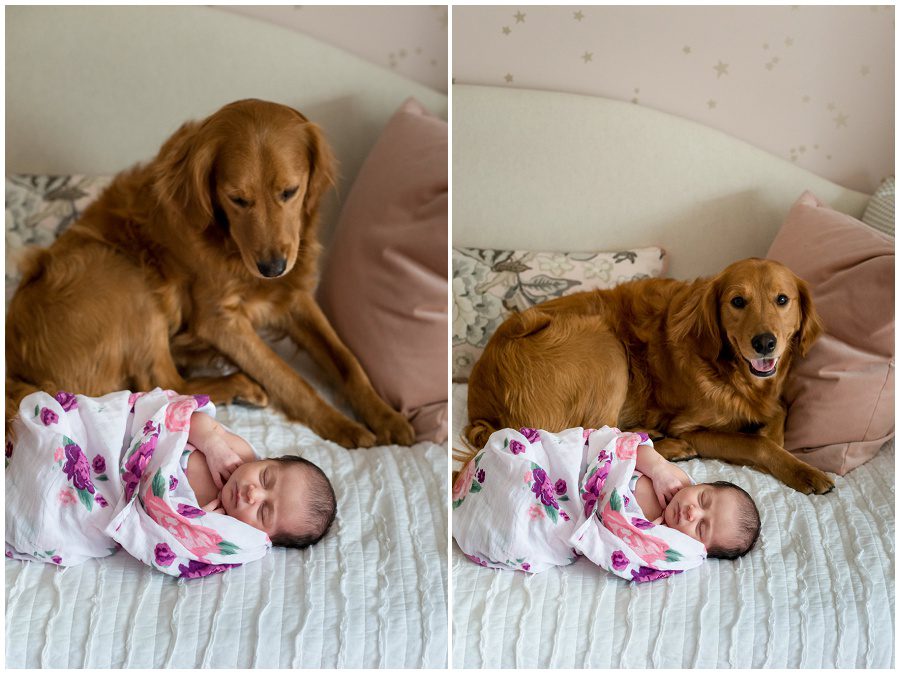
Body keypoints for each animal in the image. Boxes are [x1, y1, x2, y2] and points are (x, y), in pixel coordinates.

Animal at [6, 98, 414, 446]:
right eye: (238, 199)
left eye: (290, 191)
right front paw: (342, 425)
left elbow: (347, 361)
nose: (272, 268)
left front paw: (385, 417)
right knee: (164, 385)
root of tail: (17, 372)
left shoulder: (293, 296)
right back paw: (238, 385)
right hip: (121, 271)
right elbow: (288, 377)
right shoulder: (219, 321)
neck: (230, 246)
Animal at [468, 258, 832, 494]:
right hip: (606, 345)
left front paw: (776, 436)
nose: (765, 343)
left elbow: (780, 410)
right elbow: (756, 443)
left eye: (782, 300)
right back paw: (666, 445)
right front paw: (803, 470)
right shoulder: (690, 427)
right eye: (738, 301)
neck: (728, 371)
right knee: (595, 438)